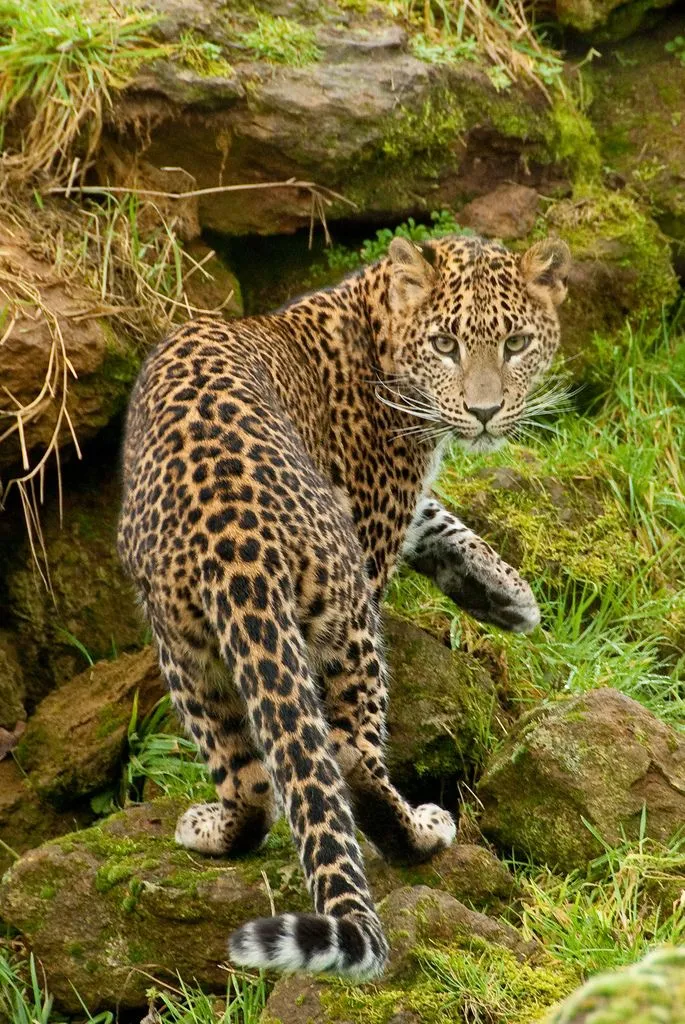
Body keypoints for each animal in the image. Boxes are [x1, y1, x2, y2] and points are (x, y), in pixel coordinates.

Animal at [117, 233, 571, 980]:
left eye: (514, 343)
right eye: (446, 344)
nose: (483, 412)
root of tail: (235, 541)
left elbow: (434, 515)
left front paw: (505, 594)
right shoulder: (371, 524)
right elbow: (424, 512)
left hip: (185, 644)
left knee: (250, 782)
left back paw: (208, 831)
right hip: (346, 624)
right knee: (349, 752)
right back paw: (422, 831)